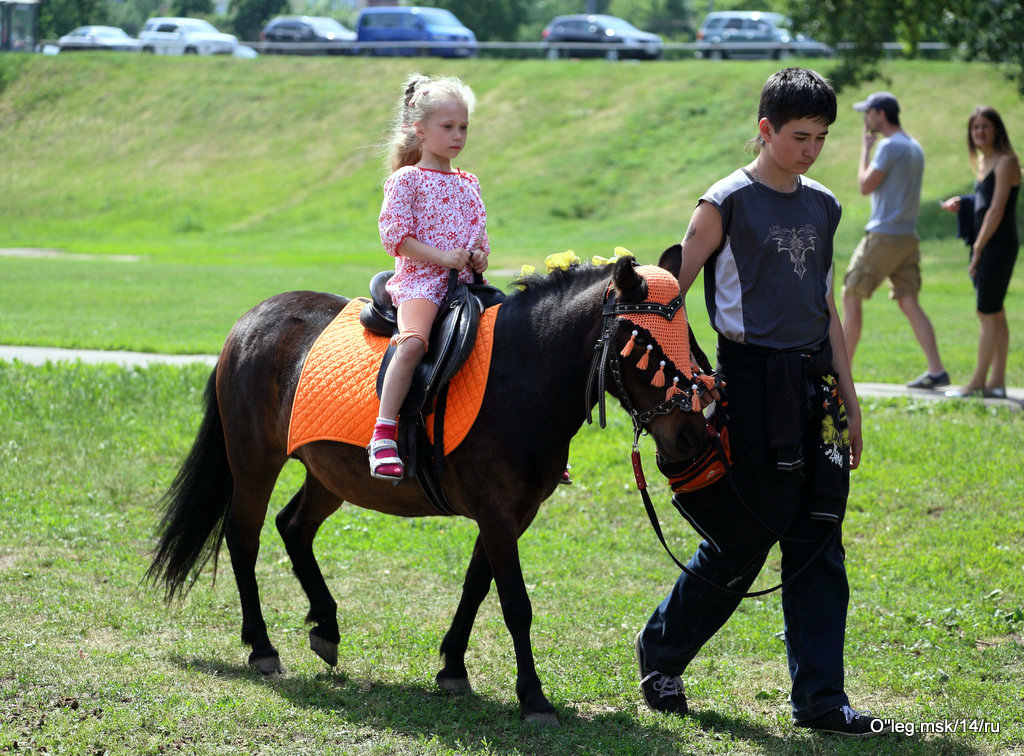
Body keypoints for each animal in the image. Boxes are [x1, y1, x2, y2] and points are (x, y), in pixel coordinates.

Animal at [149, 248, 712, 725]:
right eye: (645, 346)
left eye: (690, 339)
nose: (691, 435)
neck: (521, 375)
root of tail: (248, 320)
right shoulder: (497, 513)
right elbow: (515, 604)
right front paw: (533, 697)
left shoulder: (511, 514)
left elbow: (476, 586)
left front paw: (452, 667)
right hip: (254, 462)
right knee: (244, 537)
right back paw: (262, 646)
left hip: (330, 472)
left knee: (293, 526)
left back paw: (326, 627)